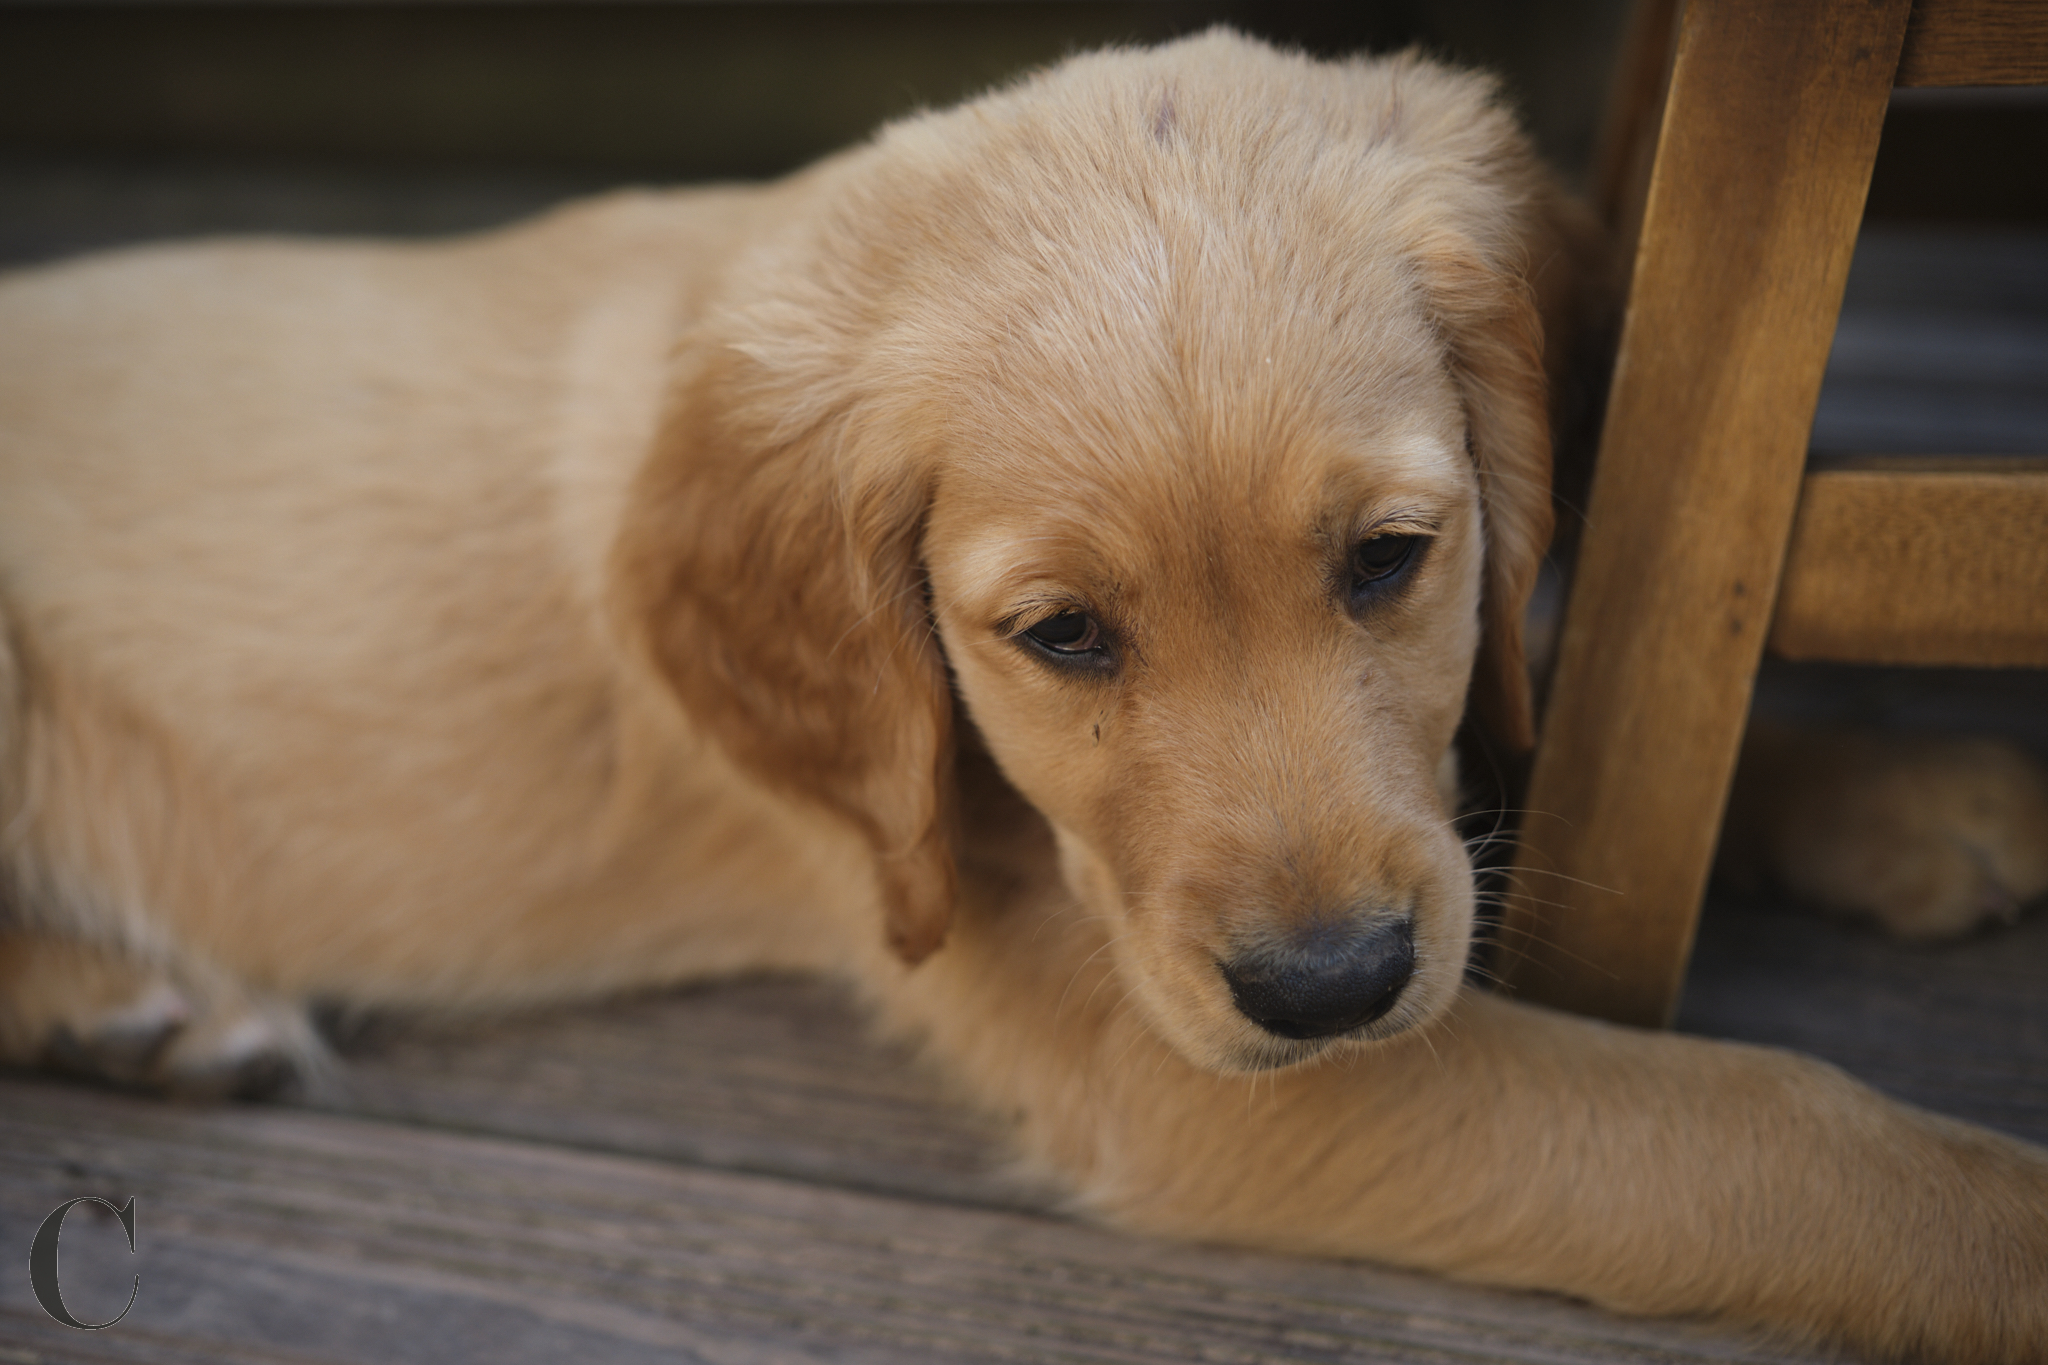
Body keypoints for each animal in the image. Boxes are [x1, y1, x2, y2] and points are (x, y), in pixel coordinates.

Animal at [0, 31, 2039, 1365]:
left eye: (1389, 558)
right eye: (1059, 638)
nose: (1330, 989)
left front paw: (1912, 789)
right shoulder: (1155, 1051)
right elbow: (1771, 1129)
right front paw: (2006, 1225)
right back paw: (138, 1004)